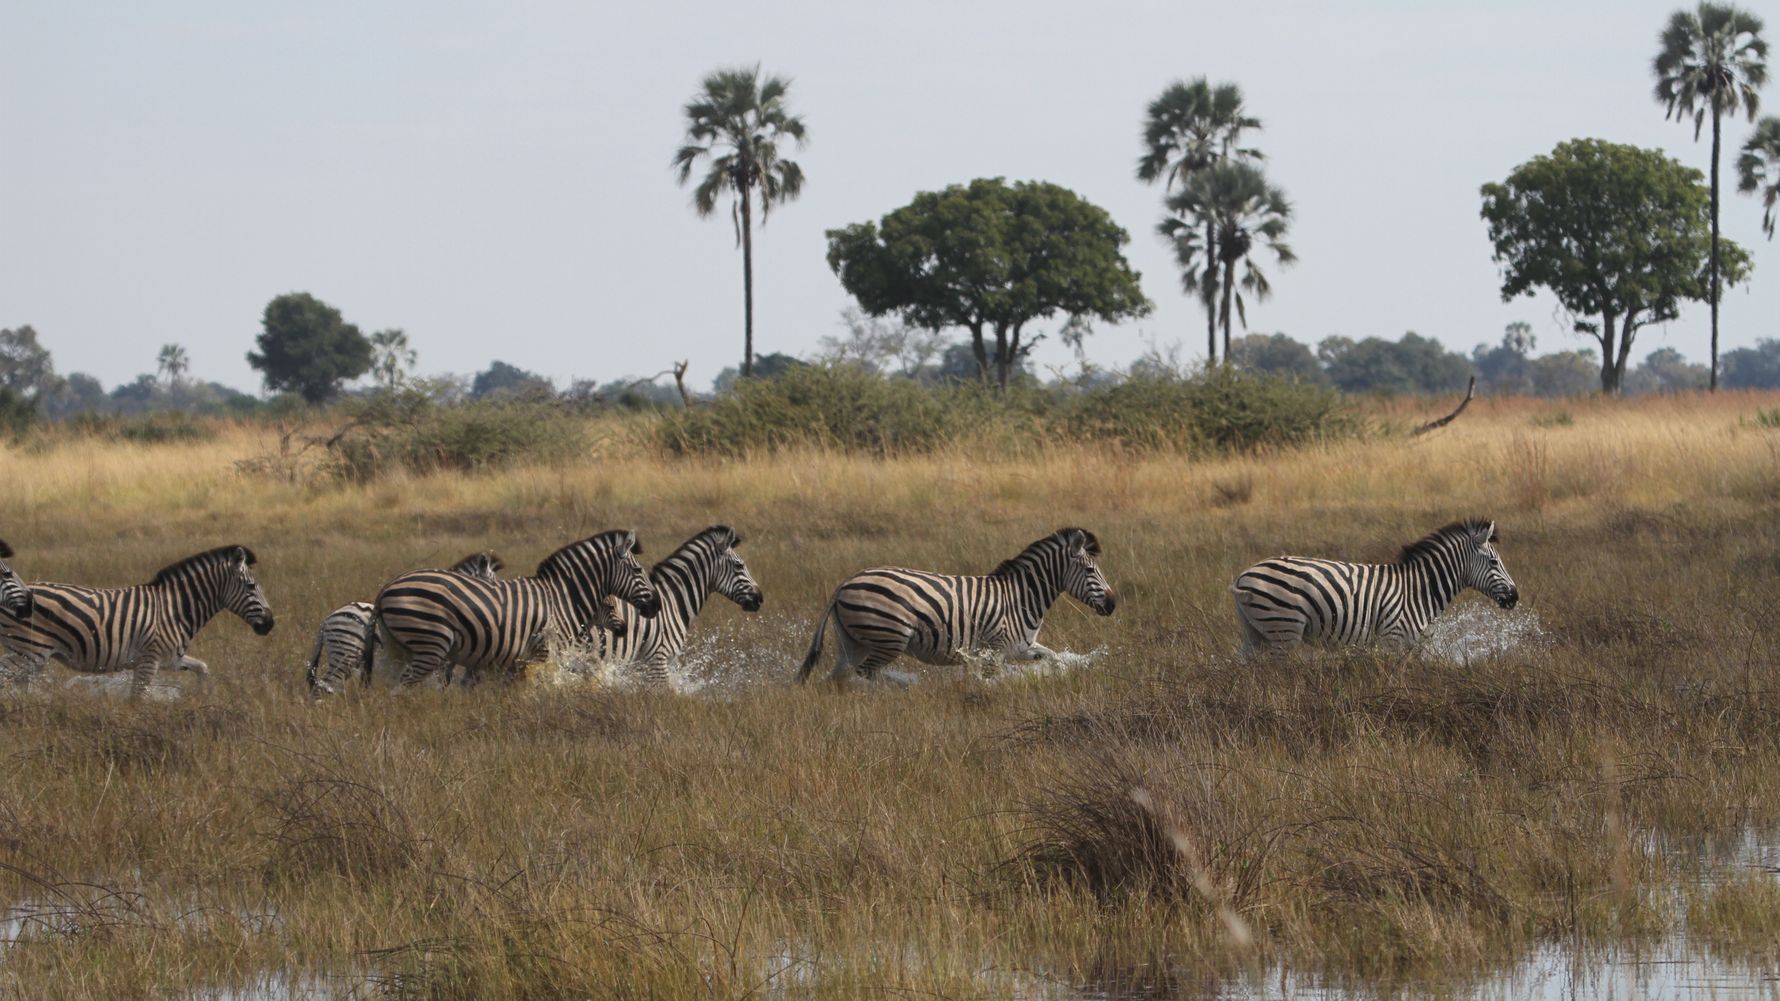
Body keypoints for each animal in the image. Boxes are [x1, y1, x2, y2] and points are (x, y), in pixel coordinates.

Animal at [0, 545, 275, 697]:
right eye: (251, 587)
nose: (270, 624)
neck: (175, 609)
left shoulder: (171, 659)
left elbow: (203, 669)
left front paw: (202, 698)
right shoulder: (148, 661)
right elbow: (137, 699)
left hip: (31, 657)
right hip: (27, 650)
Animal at [305, 551, 504, 698]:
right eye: (494, 583)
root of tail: (326, 620)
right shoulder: (441, 657)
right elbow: (442, 683)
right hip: (346, 653)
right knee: (326, 686)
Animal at [373, 529, 661, 687]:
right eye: (638, 570)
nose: (656, 606)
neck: (562, 598)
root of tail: (385, 589)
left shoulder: (517, 660)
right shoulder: (545, 652)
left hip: (398, 648)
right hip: (430, 643)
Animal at [795, 527, 1116, 686]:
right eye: (1090, 570)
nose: (1113, 604)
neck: (1020, 597)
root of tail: (846, 582)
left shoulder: (1022, 647)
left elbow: (1055, 658)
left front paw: (1062, 672)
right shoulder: (993, 650)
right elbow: (992, 682)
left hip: (853, 642)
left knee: (839, 677)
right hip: (889, 637)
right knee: (864, 675)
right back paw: (902, 685)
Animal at [1230, 517, 1519, 655]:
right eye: (1494, 562)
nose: (1515, 597)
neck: (1419, 591)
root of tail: (1242, 577)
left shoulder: (1408, 647)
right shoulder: (1392, 639)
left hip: (1254, 633)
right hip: (1284, 629)